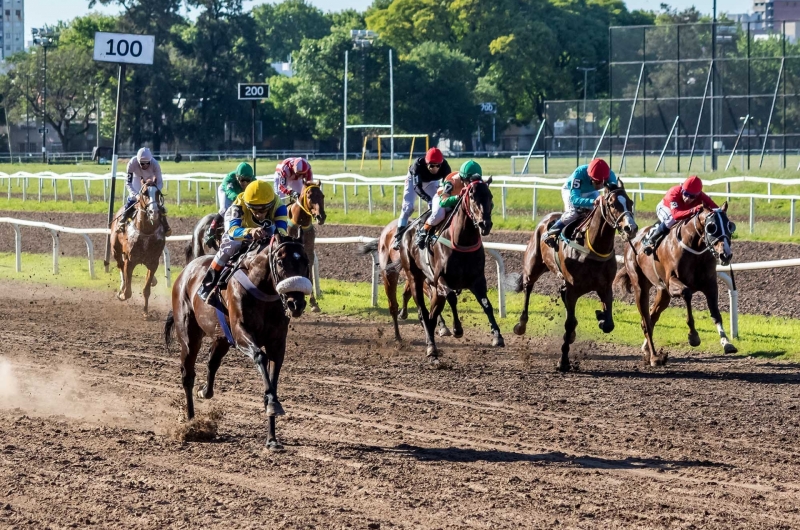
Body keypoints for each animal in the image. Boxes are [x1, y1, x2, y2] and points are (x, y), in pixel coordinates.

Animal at [110, 182, 166, 314]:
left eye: (158, 193)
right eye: (144, 193)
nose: (154, 212)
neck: (145, 232)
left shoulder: (153, 262)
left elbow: (146, 289)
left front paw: (145, 311)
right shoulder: (130, 260)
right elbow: (128, 292)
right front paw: (122, 294)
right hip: (116, 250)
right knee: (120, 266)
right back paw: (121, 288)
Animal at [163, 233, 312, 448]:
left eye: (305, 261)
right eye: (280, 261)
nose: (296, 304)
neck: (262, 289)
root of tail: (185, 272)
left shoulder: (277, 343)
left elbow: (272, 380)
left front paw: (272, 437)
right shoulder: (241, 332)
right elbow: (259, 356)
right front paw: (272, 405)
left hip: (221, 338)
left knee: (212, 362)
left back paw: (205, 392)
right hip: (189, 336)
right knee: (188, 374)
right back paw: (191, 423)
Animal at [372, 177, 496, 358]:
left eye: (490, 197)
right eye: (472, 197)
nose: (485, 224)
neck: (462, 241)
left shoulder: (477, 279)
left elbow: (486, 304)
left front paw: (497, 336)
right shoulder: (440, 279)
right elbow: (450, 298)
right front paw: (456, 329)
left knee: (427, 312)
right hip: (403, 275)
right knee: (410, 308)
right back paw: (406, 339)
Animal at [512, 184, 636, 370]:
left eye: (630, 202)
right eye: (613, 204)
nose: (631, 228)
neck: (592, 248)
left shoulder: (605, 287)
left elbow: (608, 324)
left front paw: (600, 317)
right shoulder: (573, 289)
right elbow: (569, 323)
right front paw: (563, 361)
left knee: (561, 293)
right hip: (532, 267)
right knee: (528, 288)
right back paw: (521, 325)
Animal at [616, 200, 740, 366]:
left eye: (729, 225)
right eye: (711, 226)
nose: (725, 255)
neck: (695, 249)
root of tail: (633, 241)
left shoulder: (710, 285)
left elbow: (715, 313)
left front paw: (726, 343)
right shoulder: (673, 283)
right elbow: (687, 294)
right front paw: (693, 336)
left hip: (663, 292)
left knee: (651, 317)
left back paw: (647, 350)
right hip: (640, 286)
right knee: (646, 320)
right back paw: (654, 357)